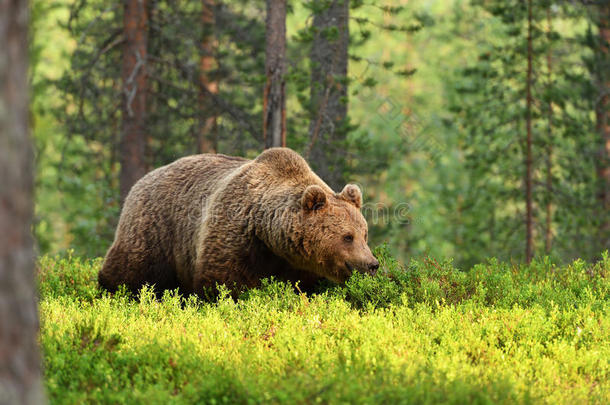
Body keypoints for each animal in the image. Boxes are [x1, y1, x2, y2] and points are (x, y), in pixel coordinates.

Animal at [97, 147, 378, 296]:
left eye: (364, 234)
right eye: (347, 236)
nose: (372, 264)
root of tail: (142, 180)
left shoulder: (299, 265)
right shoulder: (236, 236)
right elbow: (224, 283)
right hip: (156, 229)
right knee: (132, 269)